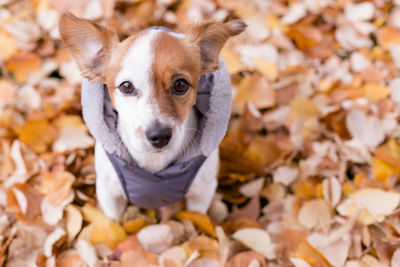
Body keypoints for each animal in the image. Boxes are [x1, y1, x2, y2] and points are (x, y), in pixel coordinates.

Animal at [58, 12, 247, 221]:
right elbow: (114, 223)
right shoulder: (109, 195)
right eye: (126, 86)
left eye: (181, 85)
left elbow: (197, 218)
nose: (160, 135)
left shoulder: (201, 193)